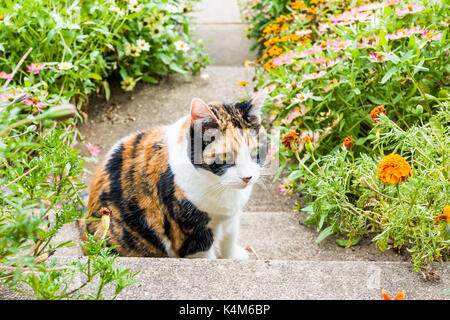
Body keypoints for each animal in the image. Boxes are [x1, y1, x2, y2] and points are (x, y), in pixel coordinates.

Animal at [79, 90, 268, 260]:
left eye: (255, 152)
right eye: (224, 157)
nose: (247, 177)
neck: (221, 187)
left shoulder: (231, 218)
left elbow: (229, 238)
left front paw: (234, 256)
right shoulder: (191, 236)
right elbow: (206, 256)